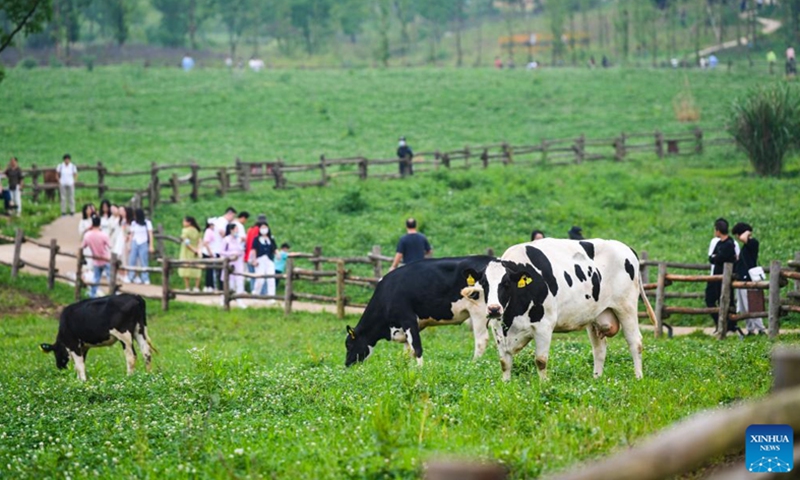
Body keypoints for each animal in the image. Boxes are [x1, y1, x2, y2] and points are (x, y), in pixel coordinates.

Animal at [344, 256, 494, 366]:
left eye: (349, 345)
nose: (347, 364)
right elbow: (407, 351)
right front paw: (406, 367)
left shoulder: (408, 319)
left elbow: (417, 348)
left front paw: (420, 369)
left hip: (479, 311)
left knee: (481, 340)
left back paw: (474, 364)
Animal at [462, 240, 656, 382]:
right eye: (484, 284)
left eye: (507, 283)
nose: (494, 309)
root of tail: (625, 247)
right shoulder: (497, 329)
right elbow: (504, 362)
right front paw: (506, 384)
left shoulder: (544, 326)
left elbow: (540, 361)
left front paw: (543, 385)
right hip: (595, 316)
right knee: (599, 349)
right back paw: (596, 379)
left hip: (626, 307)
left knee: (635, 342)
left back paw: (638, 377)